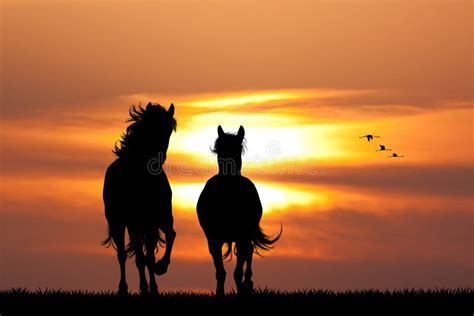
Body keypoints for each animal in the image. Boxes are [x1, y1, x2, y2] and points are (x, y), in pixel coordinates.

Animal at [103, 102, 177, 296]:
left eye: (168, 130)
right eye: (151, 128)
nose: (158, 160)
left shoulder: (159, 219)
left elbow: (170, 236)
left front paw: (160, 269)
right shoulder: (134, 222)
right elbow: (138, 257)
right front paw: (144, 286)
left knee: (145, 253)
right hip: (120, 223)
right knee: (123, 254)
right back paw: (124, 288)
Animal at [196, 125, 282, 296]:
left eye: (238, 148)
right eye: (219, 149)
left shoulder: (243, 237)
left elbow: (238, 271)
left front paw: (242, 290)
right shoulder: (213, 240)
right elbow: (220, 272)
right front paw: (220, 294)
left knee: (249, 253)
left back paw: (248, 284)